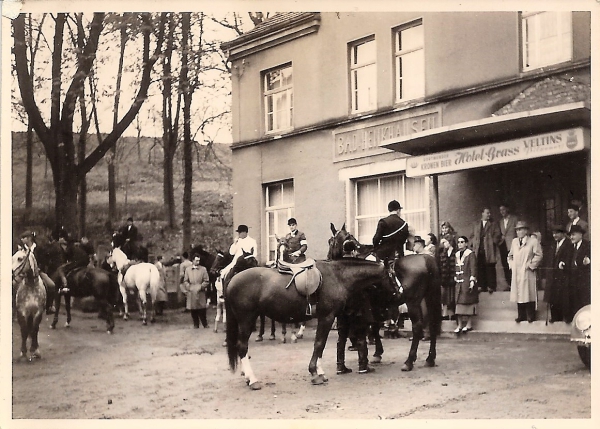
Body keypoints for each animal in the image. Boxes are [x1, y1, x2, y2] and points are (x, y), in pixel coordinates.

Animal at [225, 232, 398, 390]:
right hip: (246, 320)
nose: (399, 291)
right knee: (242, 346)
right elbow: (319, 343)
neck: (337, 275)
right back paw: (253, 380)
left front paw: (320, 372)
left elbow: (321, 344)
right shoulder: (327, 317)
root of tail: (232, 280)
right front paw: (315, 373)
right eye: (392, 275)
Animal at [328, 222, 440, 370]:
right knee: (433, 324)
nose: (329, 257)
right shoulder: (377, 305)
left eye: (331, 241)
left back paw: (409, 361)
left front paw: (372, 352)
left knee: (417, 327)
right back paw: (430, 358)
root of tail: (426, 259)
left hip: (413, 303)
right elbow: (375, 327)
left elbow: (370, 327)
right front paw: (377, 353)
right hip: (429, 298)